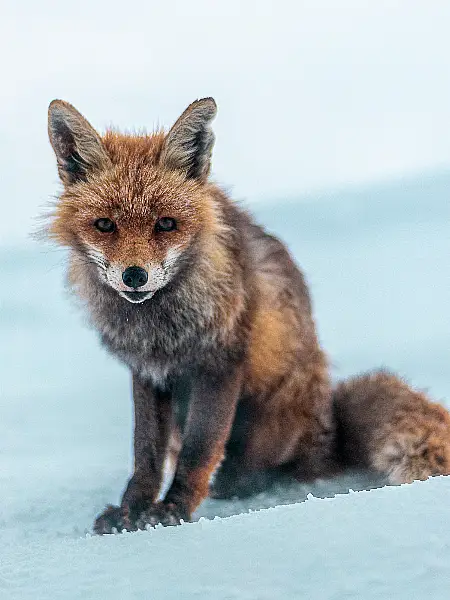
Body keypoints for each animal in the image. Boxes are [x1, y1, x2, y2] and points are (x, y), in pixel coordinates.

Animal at [44, 98, 450, 536]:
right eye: (105, 225)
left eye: (166, 224)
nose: (134, 275)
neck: (161, 329)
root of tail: (330, 430)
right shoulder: (148, 372)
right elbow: (146, 455)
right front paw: (130, 511)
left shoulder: (221, 361)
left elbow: (199, 450)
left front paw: (174, 508)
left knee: (266, 467)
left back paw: (238, 483)